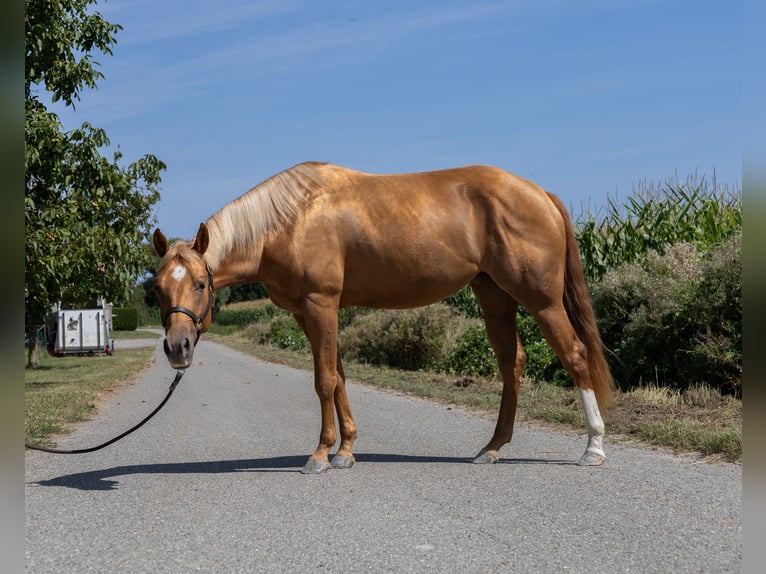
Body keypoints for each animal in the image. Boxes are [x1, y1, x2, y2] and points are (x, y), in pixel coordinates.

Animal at [153, 160, 616, 474]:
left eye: (200, 282)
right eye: (157, 287)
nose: (177, 348)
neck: (289, 221)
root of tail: (540, 194)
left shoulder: (321, 304)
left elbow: (324, 380)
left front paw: (320, 455)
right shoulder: (308, 313)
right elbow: (338, 377)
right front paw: (345, 451)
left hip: (542, 301)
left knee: (575, 355)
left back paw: (593, 448)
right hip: (494, 296)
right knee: (511, 364)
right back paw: (492, 448)